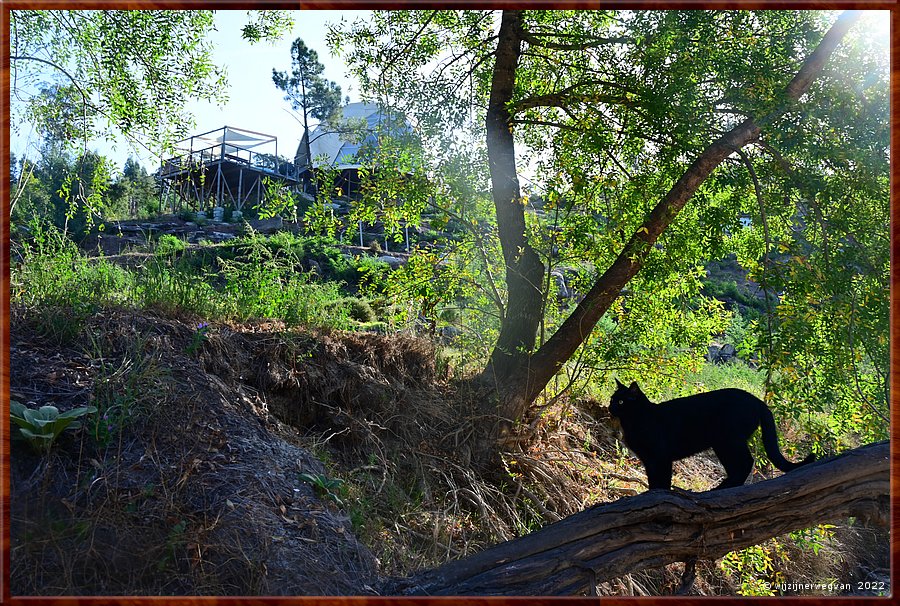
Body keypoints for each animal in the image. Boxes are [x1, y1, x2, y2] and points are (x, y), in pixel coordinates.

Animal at [608, 382, 812, 492]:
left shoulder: (661, 457)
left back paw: (723, 488)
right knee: (738, 466)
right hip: (723, 444)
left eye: (621, 401)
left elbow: (662, 481)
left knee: (746, 462)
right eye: (612, 399)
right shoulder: (649, 461)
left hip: (727, 441)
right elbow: (653, 481)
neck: (635, 421)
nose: (610, 407)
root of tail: (757, 401)